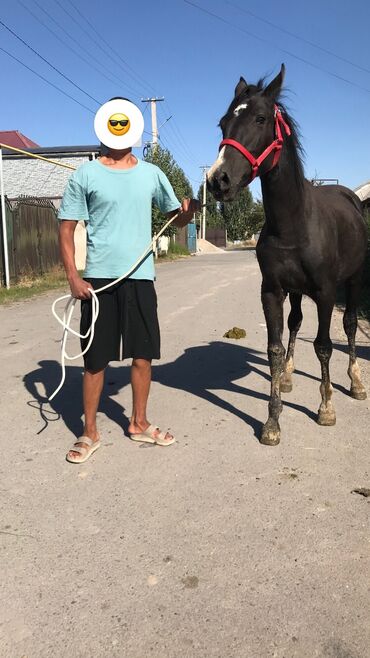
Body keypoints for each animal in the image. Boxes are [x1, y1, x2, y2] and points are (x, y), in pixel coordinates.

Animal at [208, 64, 368, 444]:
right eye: (223, 123)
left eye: (261, 118)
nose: (218, 180)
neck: (295, 223)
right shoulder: (272, 290)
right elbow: (275, 348)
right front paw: (272, 421)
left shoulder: (325, 292)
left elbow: (324, 345)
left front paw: (326, 408)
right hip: (295, 291)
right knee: (295, 323)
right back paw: (288, 376)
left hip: (354, 281)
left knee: (349, 325)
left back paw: (355, 381)